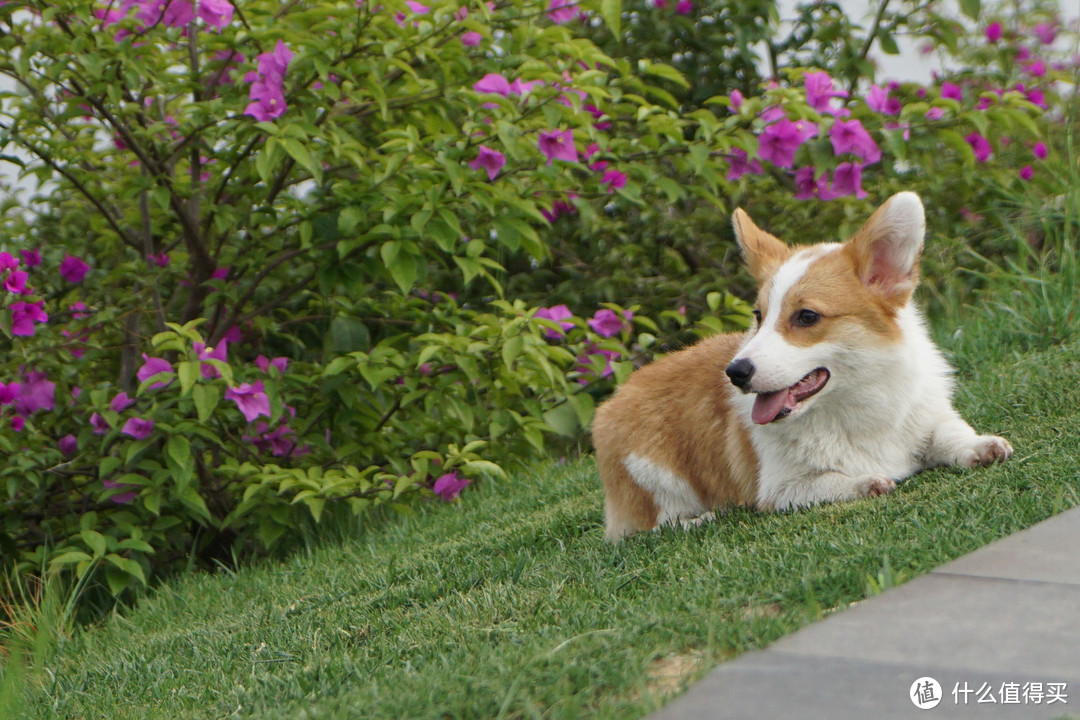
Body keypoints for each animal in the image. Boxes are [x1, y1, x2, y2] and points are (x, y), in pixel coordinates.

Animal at [596, 191, 1015, 539]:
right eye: (758, 315)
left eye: (807, 316)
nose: (735, 373)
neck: (854, 406)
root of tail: (616, 396)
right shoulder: (781, 489)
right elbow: (829, 482)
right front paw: (863, 482)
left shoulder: (928, 419)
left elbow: (948, 435)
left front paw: (980, 446)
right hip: (651, 475)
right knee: (652, 526)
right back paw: (699, 519)